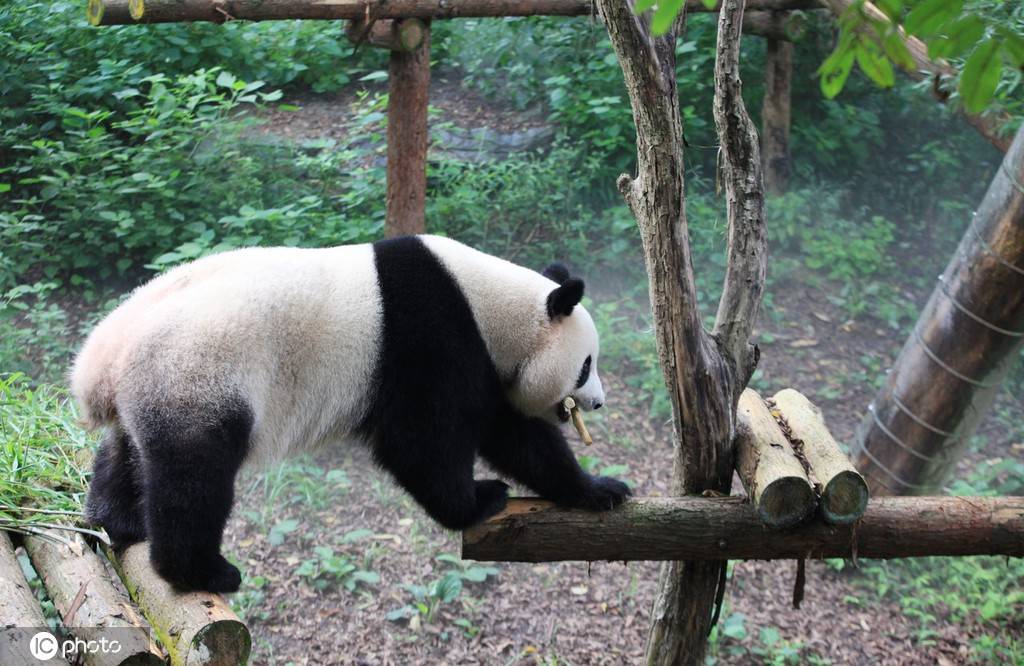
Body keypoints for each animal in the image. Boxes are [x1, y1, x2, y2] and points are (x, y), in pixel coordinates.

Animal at [72, 233, 626, 590]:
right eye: (585, 365)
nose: (598, 402)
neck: (489, 303)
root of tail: (100, 365)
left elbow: (513, 435)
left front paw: (598, 490)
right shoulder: (431, 337)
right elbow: (421, 444)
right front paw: (479, 500)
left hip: (152, 391)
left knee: (128, 456)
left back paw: (116, 522)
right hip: (197, 377)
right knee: (193, 479)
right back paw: (202, 572)